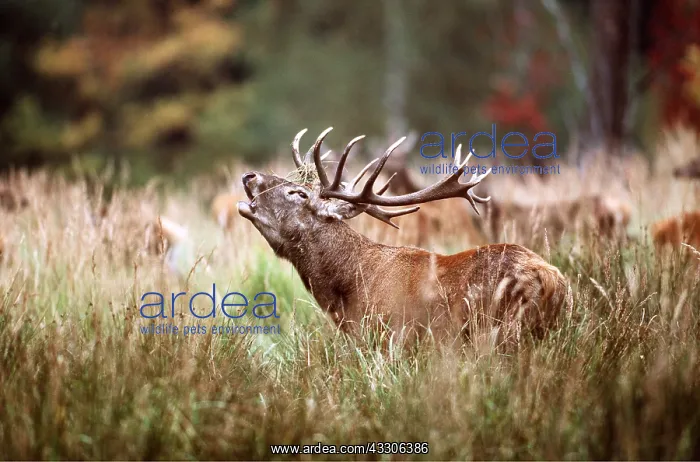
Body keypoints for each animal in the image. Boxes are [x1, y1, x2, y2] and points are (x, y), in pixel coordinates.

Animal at [236, 128, 569, 346]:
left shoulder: (391, 339)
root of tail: (554, 280)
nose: (249, 176)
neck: (348, 293)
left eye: (299, 193)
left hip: (504, 332)